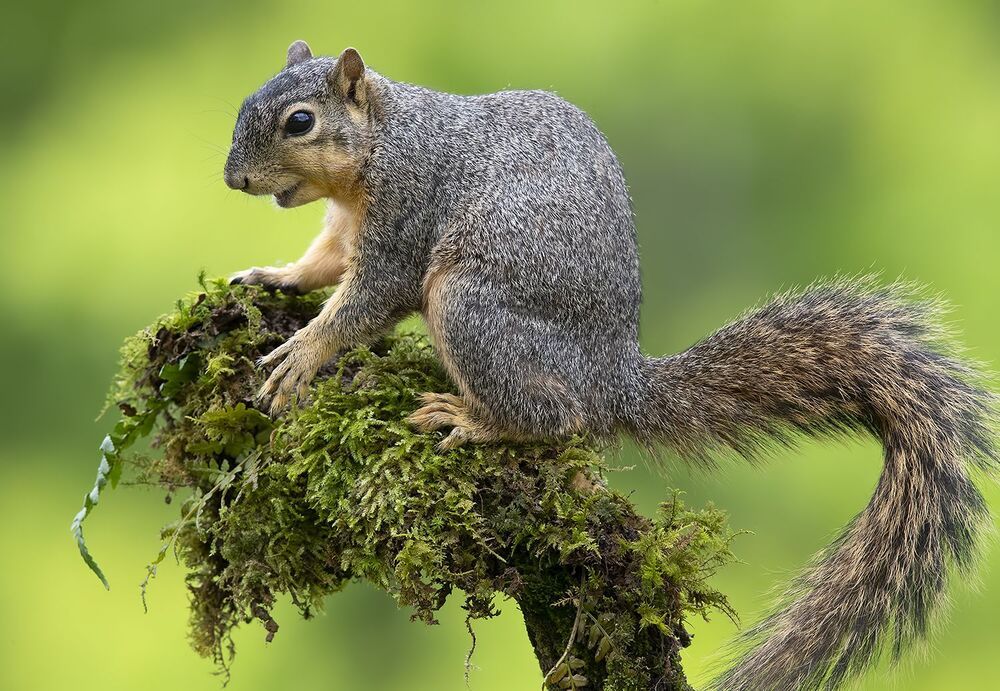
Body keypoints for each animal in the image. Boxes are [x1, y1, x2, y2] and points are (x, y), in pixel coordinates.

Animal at [223, 42, 998, 691]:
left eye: (300, 122)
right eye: (248, 99)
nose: (234, 179)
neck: (383, 142)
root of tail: (613, 378)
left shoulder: (407, 213)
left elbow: (368, 299)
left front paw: (302, 355)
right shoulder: (345, 225)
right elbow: (324, 264)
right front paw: (273, 276)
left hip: (471, 306)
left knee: (556, 416)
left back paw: (475, 419)